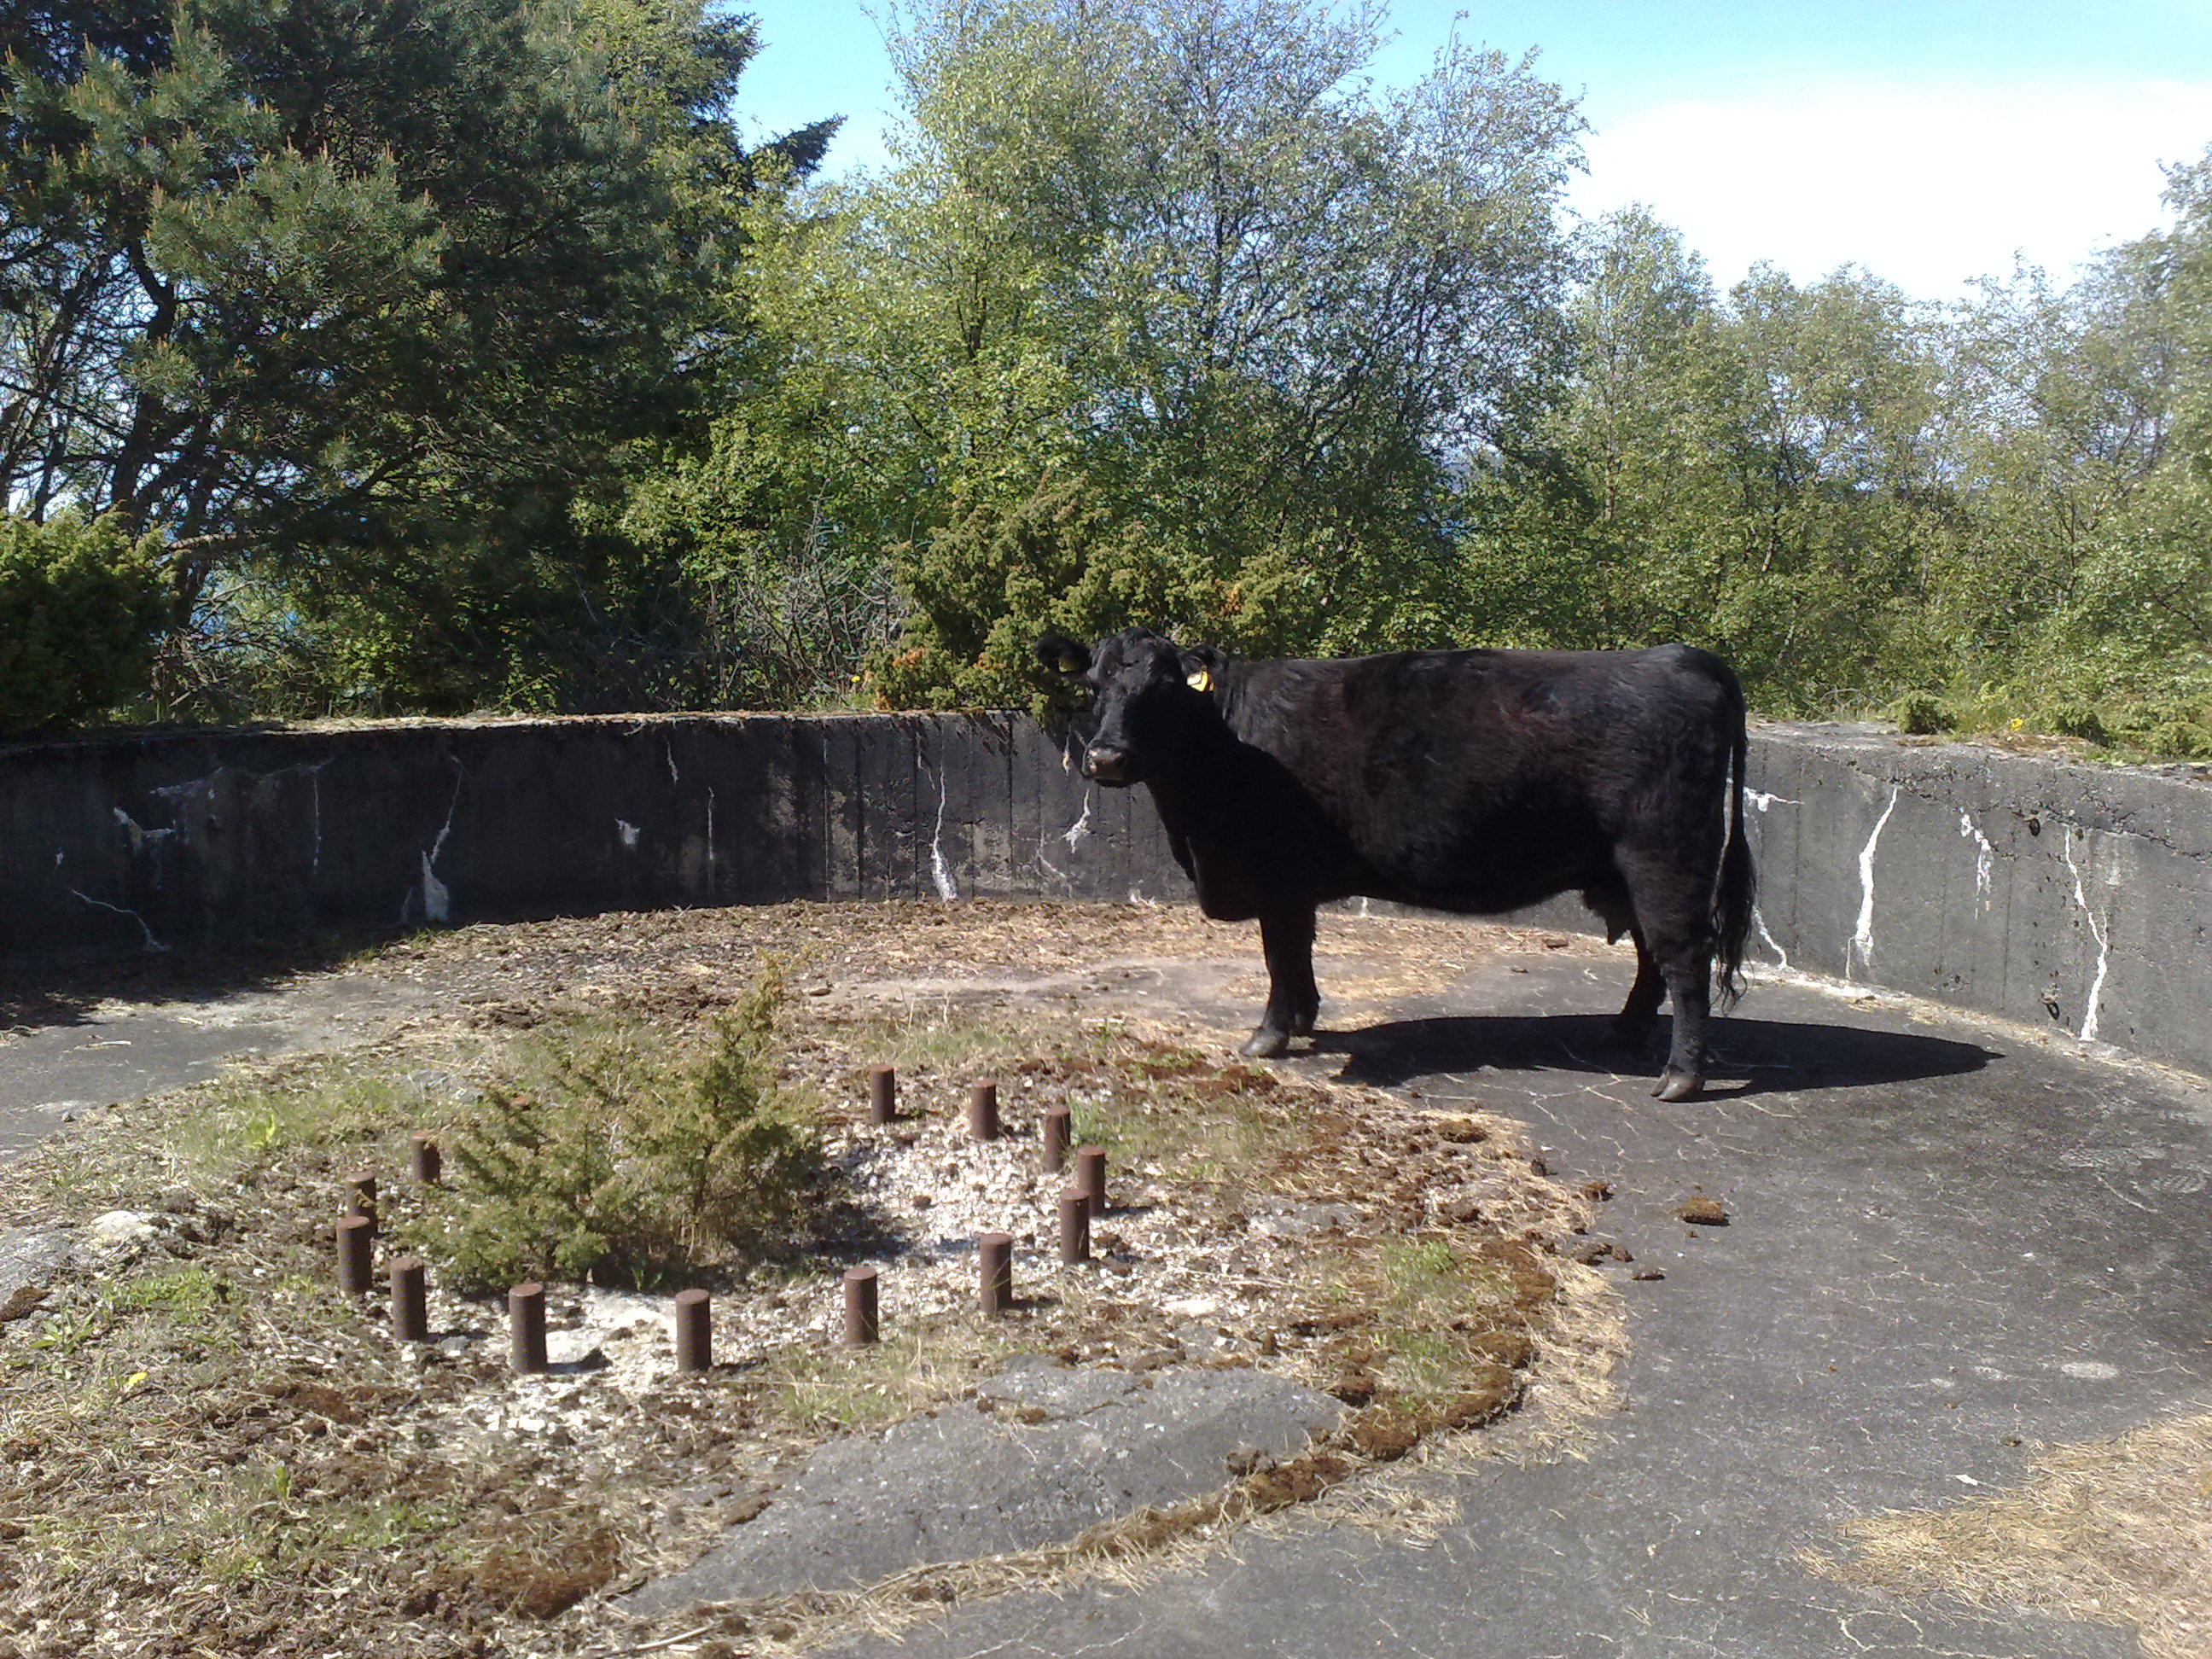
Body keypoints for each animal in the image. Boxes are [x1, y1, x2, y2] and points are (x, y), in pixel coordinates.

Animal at [1039, 628, 1761, 1106]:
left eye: (1163, 689)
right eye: (1094, 686)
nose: (1104, 759)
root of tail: (1681, 656)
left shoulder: (1275, 878)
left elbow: (1278, 957)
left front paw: (1268, 1037)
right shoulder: (1294, 886)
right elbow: (1300, 953)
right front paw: (1304, 1018)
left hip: (1664, 856)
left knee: (1683, 957)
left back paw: (1681, 1075)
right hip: (1622, 871)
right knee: (1649, 954)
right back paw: (1628, 1031)